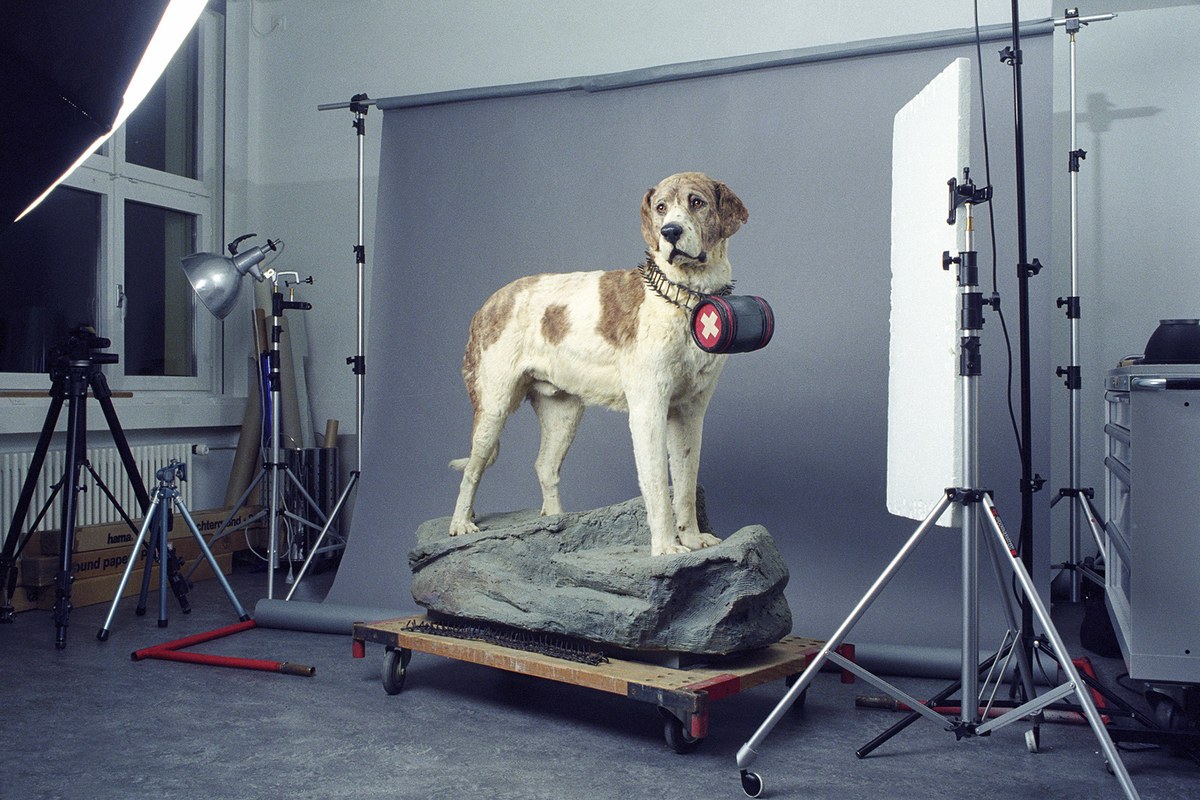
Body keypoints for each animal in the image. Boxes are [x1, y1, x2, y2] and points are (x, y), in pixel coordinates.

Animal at [451, 171, 748, 554]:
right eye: (661, 208)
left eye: (696, 202)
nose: (670, 232)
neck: (686, 296)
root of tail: (489, 303)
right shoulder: (648, 410)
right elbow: (658, 486)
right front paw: (666, 548)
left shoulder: (690, 413)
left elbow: (684, 483)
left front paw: (693, 539)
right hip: (494, 408)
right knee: (472, 470)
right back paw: (461, 524)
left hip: (563, 413)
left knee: (545, 466)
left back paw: (555, 524)